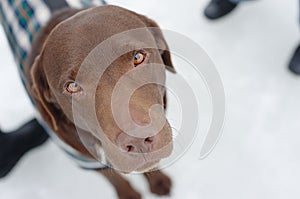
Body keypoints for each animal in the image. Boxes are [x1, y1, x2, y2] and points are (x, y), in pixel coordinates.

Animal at [25, 4, 176, 199]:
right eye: (72, 86)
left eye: (138, 57)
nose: (137, 141)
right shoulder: (83, 157)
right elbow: (112, 177)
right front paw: (128, 194)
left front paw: (157, 180)